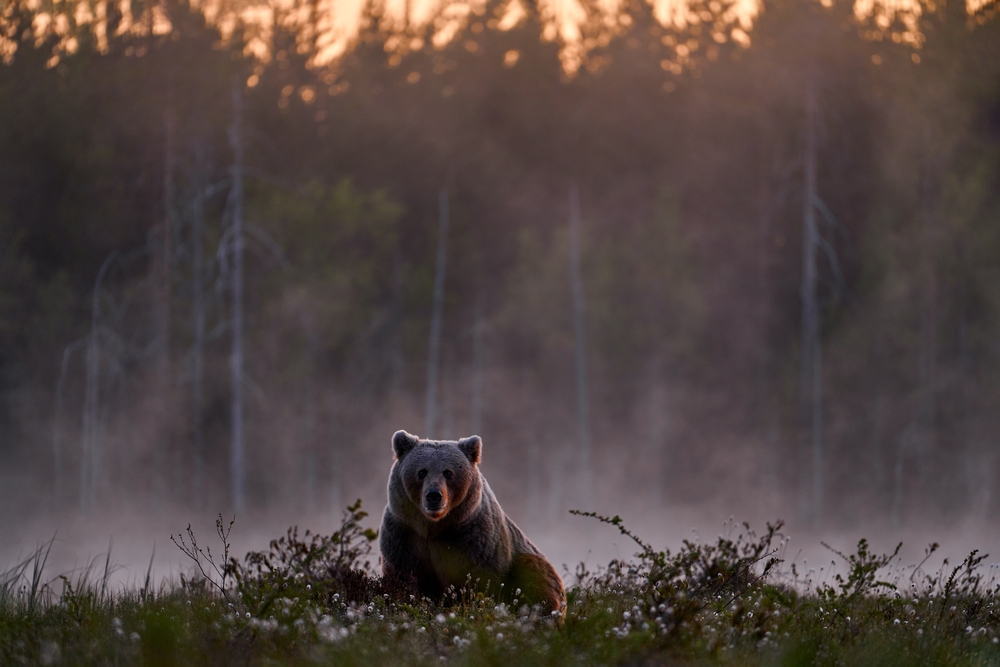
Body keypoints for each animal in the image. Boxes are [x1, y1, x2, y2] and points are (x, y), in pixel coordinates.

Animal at [379, 430, 565, 616]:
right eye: (422, 471)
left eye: (448, 472)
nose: (434, 495)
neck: (434, 527)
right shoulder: (404, 533)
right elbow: (404, 577)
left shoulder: (473, 537)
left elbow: (475, 581)